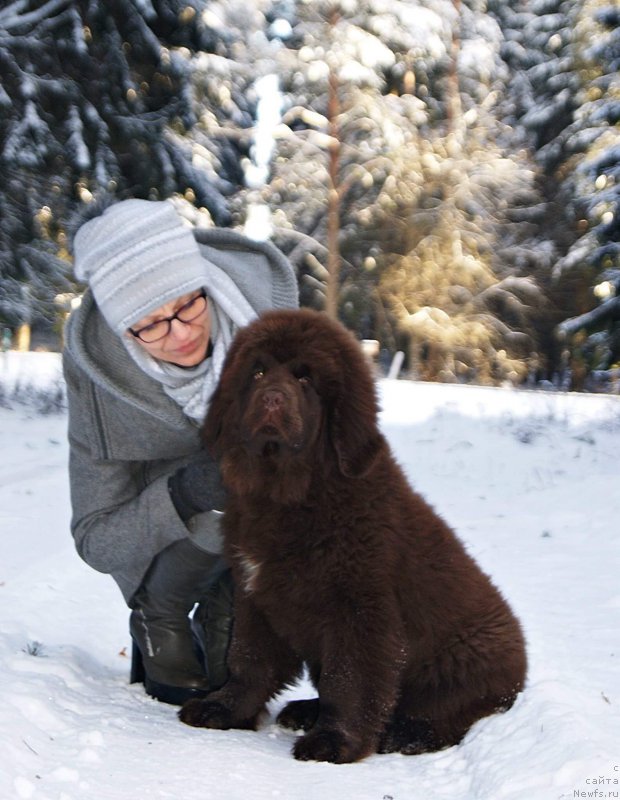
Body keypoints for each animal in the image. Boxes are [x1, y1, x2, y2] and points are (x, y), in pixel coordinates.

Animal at [180, 306, 528, 764]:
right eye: (258, 372)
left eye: (305, 379)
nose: (272, 398)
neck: (291, 494)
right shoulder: (254, 593)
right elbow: (249, 658)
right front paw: (224, 708)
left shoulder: (359, 606)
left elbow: (351, 679)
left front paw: (334, 741)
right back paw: (306, 711)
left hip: (462, 663)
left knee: (453, 713)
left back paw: (405, 734)